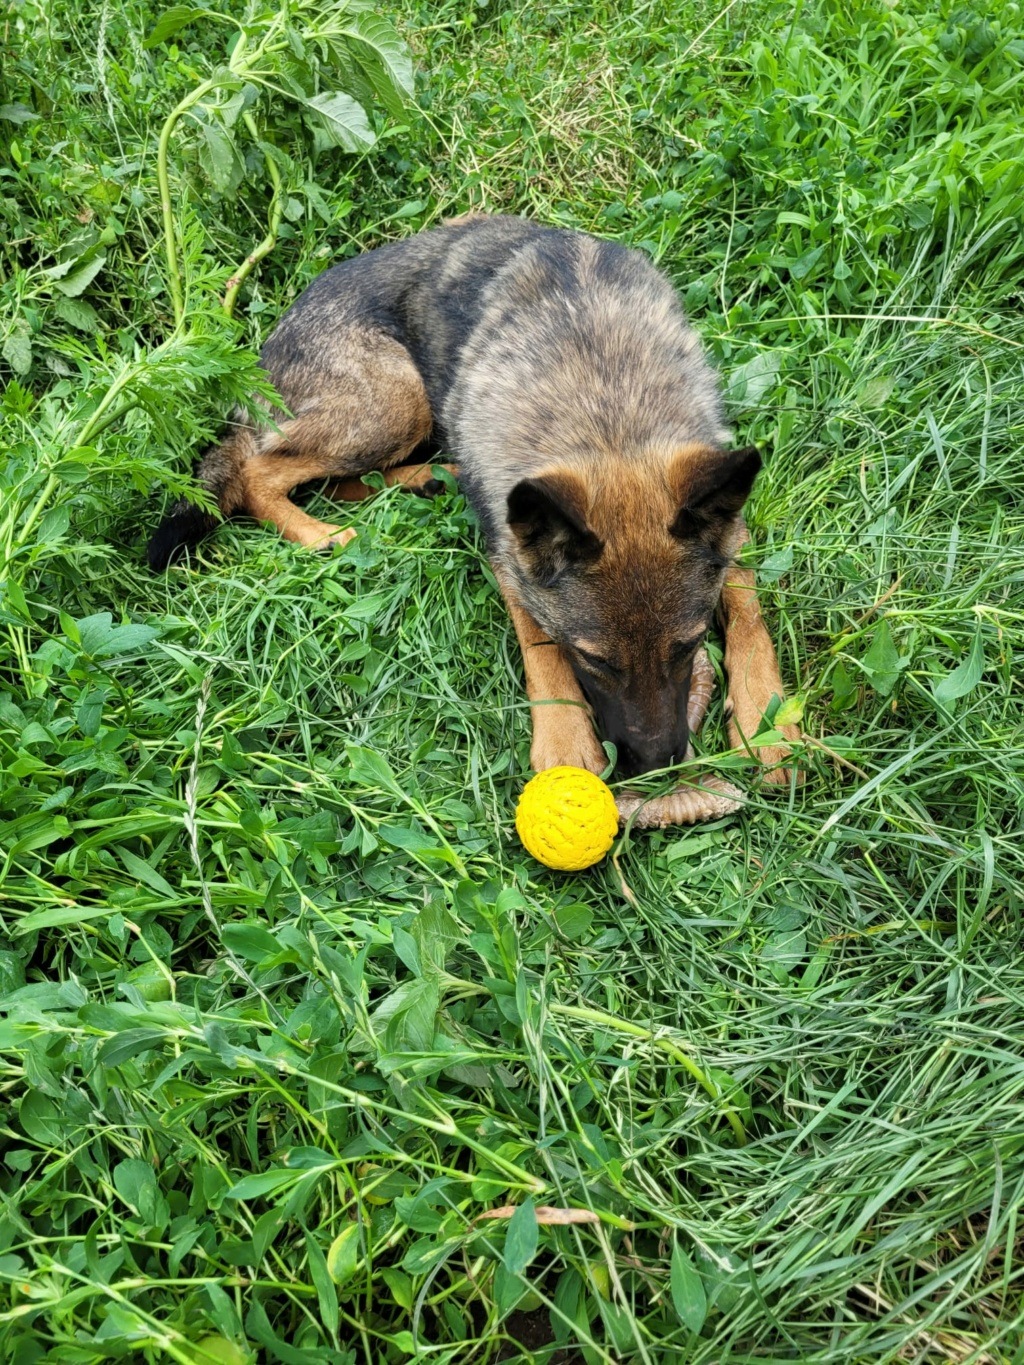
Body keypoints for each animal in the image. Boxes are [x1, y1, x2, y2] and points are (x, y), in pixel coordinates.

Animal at [148, 212, 802, 819]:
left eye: (688, 645)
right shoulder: (509, 550)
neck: (606, 412)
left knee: (328, 479)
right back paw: (323, 535)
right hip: (396, 399)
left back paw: (427, 480)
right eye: (594, 660)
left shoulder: (726, 527)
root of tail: (258, 359)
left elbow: (749, 613)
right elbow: (539, 642)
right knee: (258, 471)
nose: (656, 766)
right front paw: (564, 741)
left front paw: (768, 718)